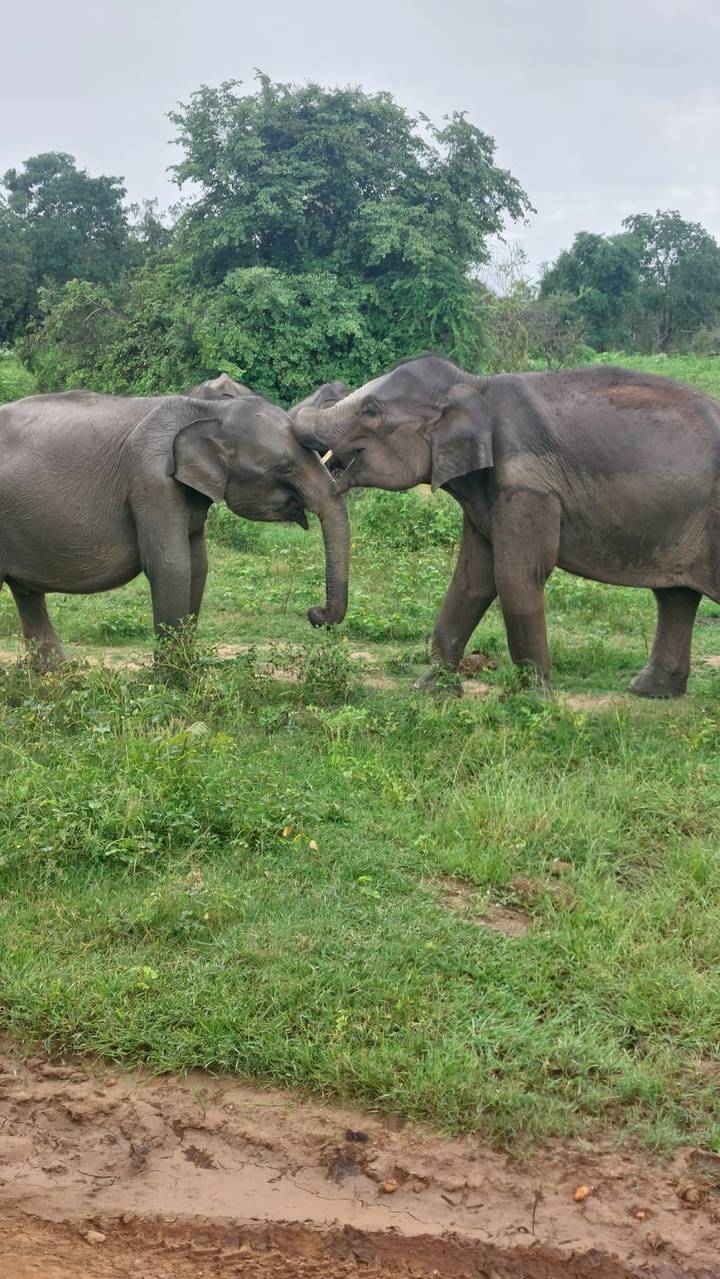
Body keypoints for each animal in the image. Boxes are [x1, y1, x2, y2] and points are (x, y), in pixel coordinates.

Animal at [0, 388, 349, 667]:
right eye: (284, 466)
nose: (315, 613)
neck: (206, 410)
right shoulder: (152, 483)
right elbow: (172, 566)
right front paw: (172, 681)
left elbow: (198, 566)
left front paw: (188, 669)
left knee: (26, 592)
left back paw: (58, 675)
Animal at [293, 355, 720, 698]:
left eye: (371, 410)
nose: (315, 614)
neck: (475, 385)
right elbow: (472, 579)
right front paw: (430, 691)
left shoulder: (528, 481)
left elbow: (515, 574)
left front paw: (529, 702)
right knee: (675, 597)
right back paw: (650, 692)